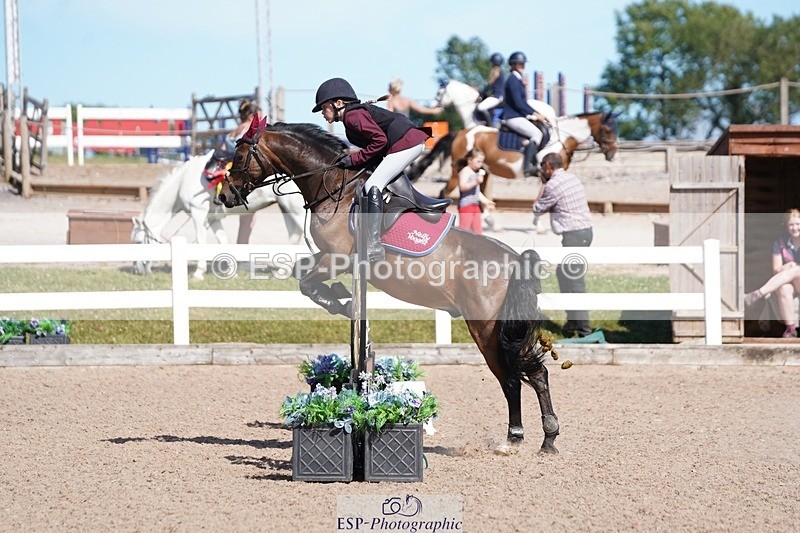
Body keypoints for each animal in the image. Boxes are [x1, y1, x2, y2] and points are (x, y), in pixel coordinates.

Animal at [131, 150, 307, 280]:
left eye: (139, 242)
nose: (137, 269)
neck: (183, 182)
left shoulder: (198, 214)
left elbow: (201, 242)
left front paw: (198, 273)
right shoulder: (213, 219)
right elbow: (223, 242)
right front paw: (231, 273)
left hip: (296, 210)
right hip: (286, 208)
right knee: (294, 236)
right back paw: (282, 272)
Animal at [217, 118, 561, 454]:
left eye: (239, 156)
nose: (225, 196)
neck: (335, 189)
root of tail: (515, 260)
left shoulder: (336, 258)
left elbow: (306, 282)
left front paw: (341, 301)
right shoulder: (328, 257)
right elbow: (301, 274)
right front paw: (340, 296)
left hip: (487, 327)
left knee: (511, 377)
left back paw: (513, 439)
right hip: (509, 330)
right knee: (536, 373)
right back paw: (548, 439)